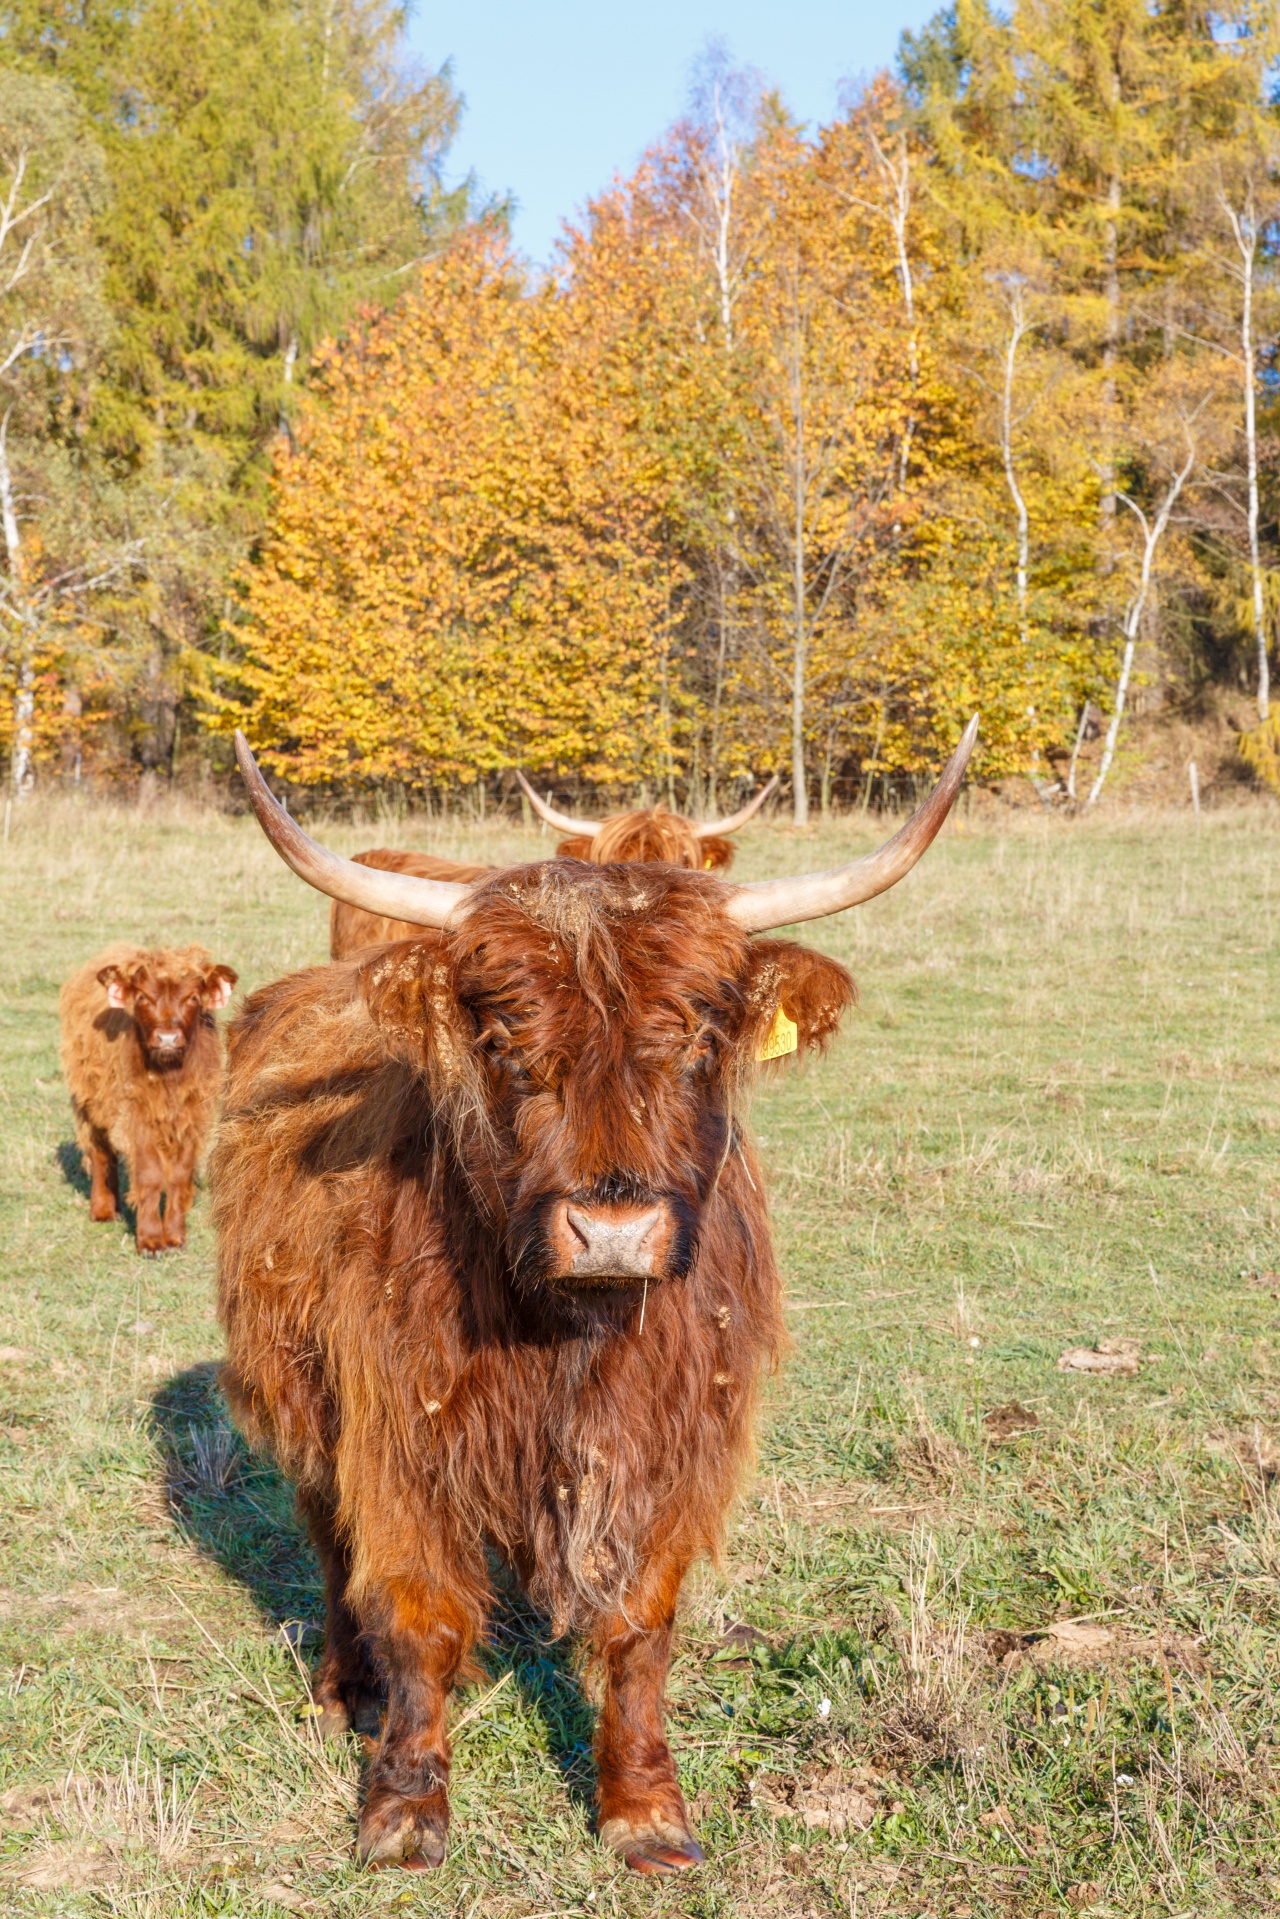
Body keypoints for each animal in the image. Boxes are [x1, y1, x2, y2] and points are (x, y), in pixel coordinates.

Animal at [59, 947, 237, 1258]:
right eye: (142, 997)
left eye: (192, 997)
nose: (167, 1038)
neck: (168, 1076)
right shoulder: (136, 1116)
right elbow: (150, 1175)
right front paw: (151, 1240)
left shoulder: (191, 1117)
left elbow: (179, 1176)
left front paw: (175, 1237)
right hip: (88, 1100)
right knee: (101, 1152)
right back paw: (104, 1210)